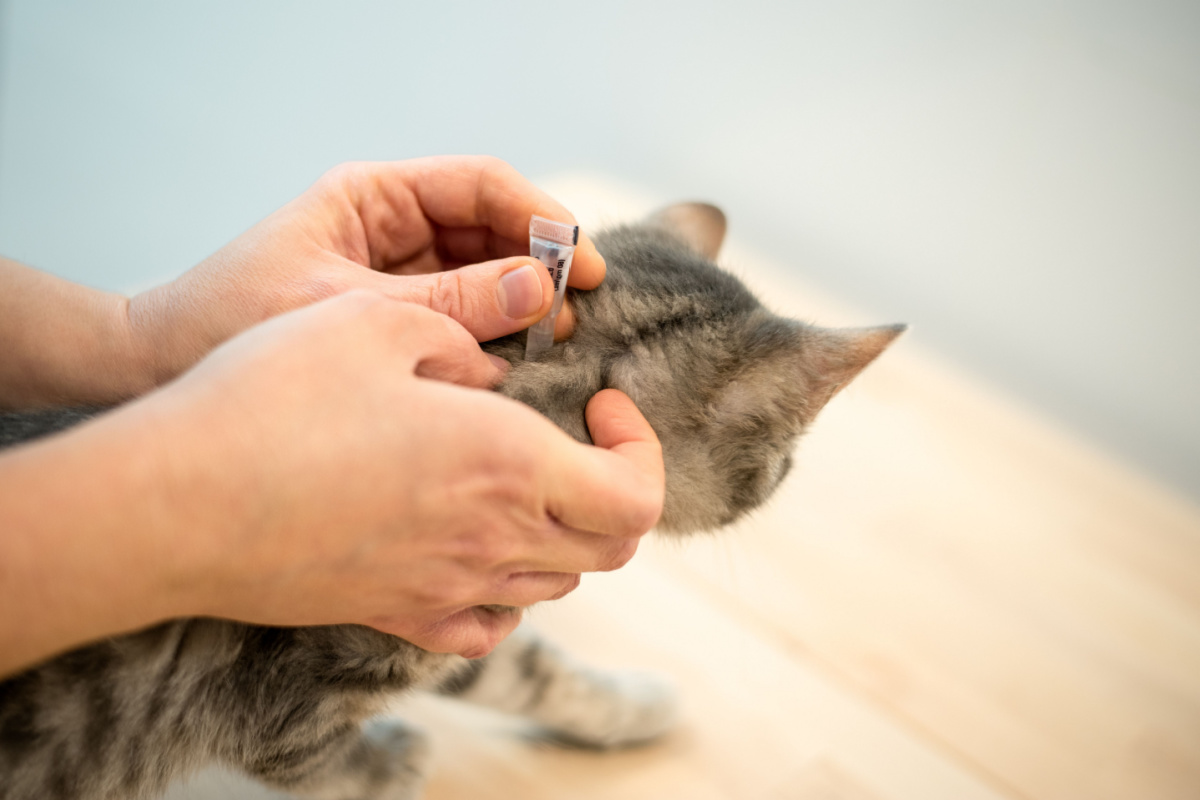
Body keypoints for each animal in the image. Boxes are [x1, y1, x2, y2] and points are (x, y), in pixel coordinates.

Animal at [0, 205, 902, 800]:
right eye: (784, 465)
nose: (785, 474)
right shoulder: (288, 704)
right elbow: (327, 765)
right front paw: (392, 760)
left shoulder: (459, 611)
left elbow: (527, 670)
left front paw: (630, 705)